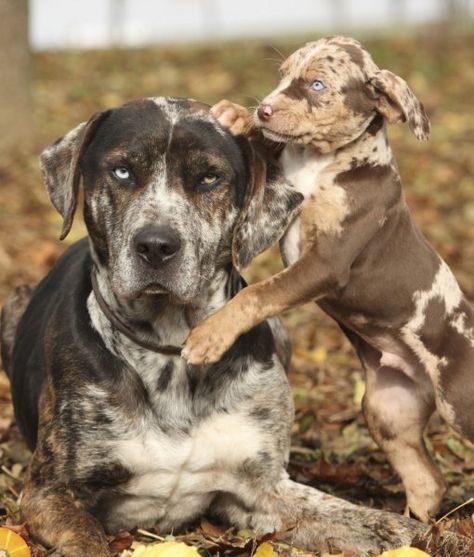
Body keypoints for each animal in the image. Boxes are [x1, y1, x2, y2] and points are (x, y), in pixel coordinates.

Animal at [0, 96, 422, 556]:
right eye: (122, 171)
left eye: (209, 177)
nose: (155, 246)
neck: (170, 349)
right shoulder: (50, 492)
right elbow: (87, 540)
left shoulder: (263, 486)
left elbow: (358, 518)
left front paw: (422, 530)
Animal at [182, 37, 474, 524]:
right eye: (283, 74)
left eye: (317, 85)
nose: (265, 108)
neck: (319, 161)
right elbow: (267, 148)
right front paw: (236, 116)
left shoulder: (326, 262)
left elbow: (257, 294)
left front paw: (208, 337)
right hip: (387, 411)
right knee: (428, 479)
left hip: (459, 404)